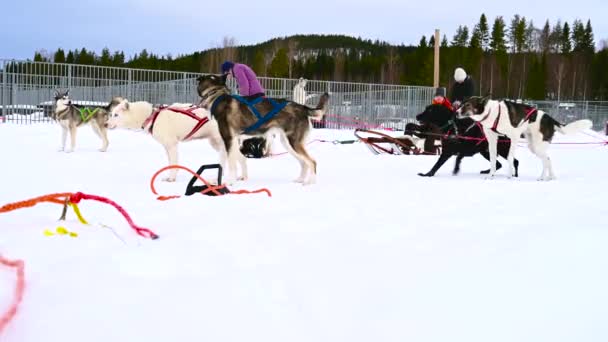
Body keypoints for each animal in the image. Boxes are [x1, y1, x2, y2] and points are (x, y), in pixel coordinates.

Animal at [106, 96, 247, 182]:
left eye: (116, 115)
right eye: (111, 114)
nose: (105, 124)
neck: (151, 116)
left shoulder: (172, 145)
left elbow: (174, 163)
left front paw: (171, 178)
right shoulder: (166, 147)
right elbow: (170, 163)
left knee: (241, 158)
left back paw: (242, 177)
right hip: (217, 144)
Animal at [196, 74, 328, 186]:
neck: (216, 95)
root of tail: (303, 107)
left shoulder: (228, 139)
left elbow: (231, 164)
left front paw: (230, 182)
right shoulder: (228, 142)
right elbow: (223, 163)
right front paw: (217, 180)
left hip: (293, 143)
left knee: (312, 161)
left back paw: (310, 183)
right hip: (288, 144)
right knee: (304, 163)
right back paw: (300, 179)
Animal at [458, 95, 592, 182]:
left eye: (468, 105)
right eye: (461, 104)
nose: (457, 112)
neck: (492, 112)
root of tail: (550, 119)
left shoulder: (514, 137)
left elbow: (510, 158)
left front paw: (510, 176)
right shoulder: (492, 140)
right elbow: (493, 159)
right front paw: (491, 175)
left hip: (538, 145)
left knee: (546, 160)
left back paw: (543, 177)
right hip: (533, 146)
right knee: (547, 159)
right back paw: (550, 177)